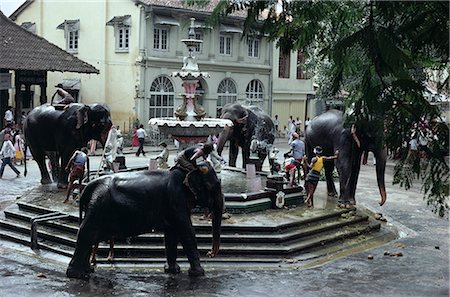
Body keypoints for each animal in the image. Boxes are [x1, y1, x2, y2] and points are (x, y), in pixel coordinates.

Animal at [66, 161, 224, 278]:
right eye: (216, 186)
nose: (209, 254)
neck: (187, 170)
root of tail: (88, 187)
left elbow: (171, 233)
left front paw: (173, 270)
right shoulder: (176, 198)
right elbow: (186, 231)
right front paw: (198, 273)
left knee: (89, 237)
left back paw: (88, 271)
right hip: (99, 205)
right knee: (87, 233)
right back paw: (79, 275)